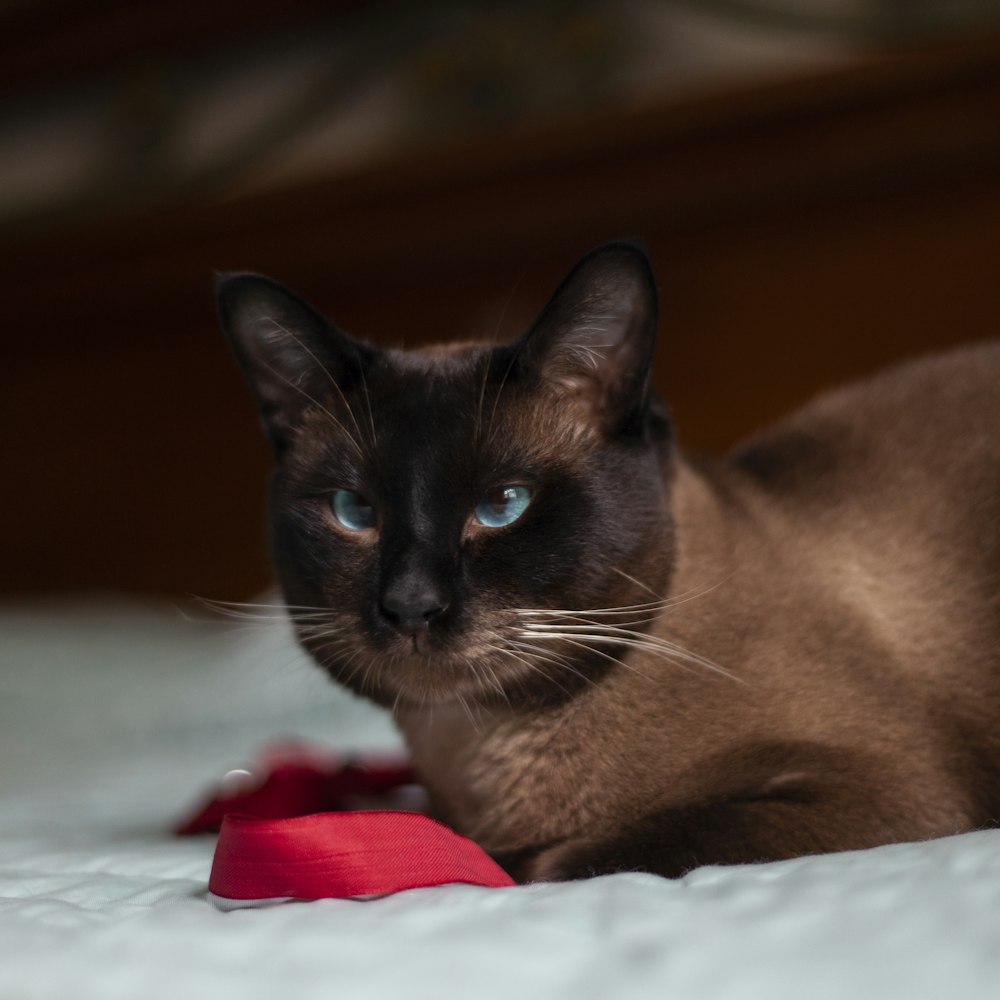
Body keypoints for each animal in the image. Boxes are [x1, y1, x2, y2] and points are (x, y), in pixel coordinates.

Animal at [217, 244, 1000, 884]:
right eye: (355, 512)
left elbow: (557, 861)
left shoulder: (881, 791)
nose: (412, 603)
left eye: (503, 505)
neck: (481, 753)